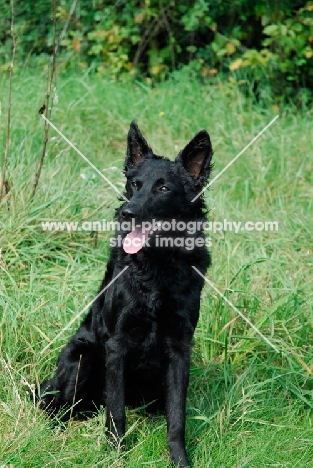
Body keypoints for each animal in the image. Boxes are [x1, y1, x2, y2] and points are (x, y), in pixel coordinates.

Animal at [37, 122, 211, 466]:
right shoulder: (117, 344)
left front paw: (180, 460)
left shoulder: (180, 348)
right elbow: (116, 411)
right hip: (82, 356)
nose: (128, 213)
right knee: (56, 406)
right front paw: (116, 454)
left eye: (163, 188)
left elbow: (177, 416)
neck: (158, 267)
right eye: (135, 184)